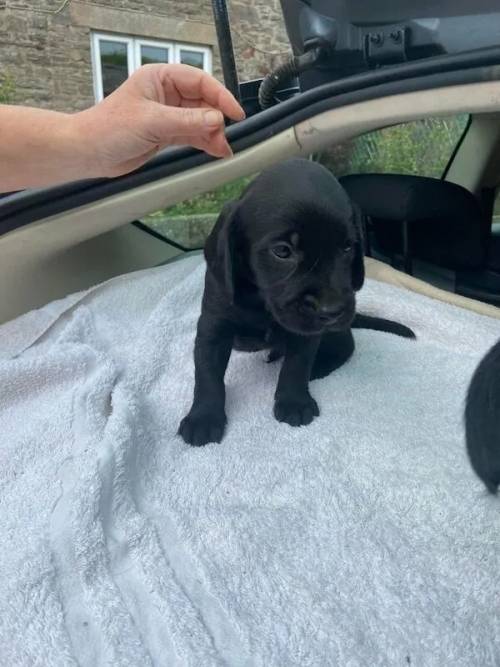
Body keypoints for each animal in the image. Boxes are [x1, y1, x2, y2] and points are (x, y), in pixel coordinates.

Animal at [179, 159, 414, 446]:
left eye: (348, 247)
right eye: (282, 251)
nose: (332, 311)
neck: (261, 302)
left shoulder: (307, 334)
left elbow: (296, 366)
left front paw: (294, 402)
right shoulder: (213, 326)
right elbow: (207, 375)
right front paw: (203, 417)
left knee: (345, 348)